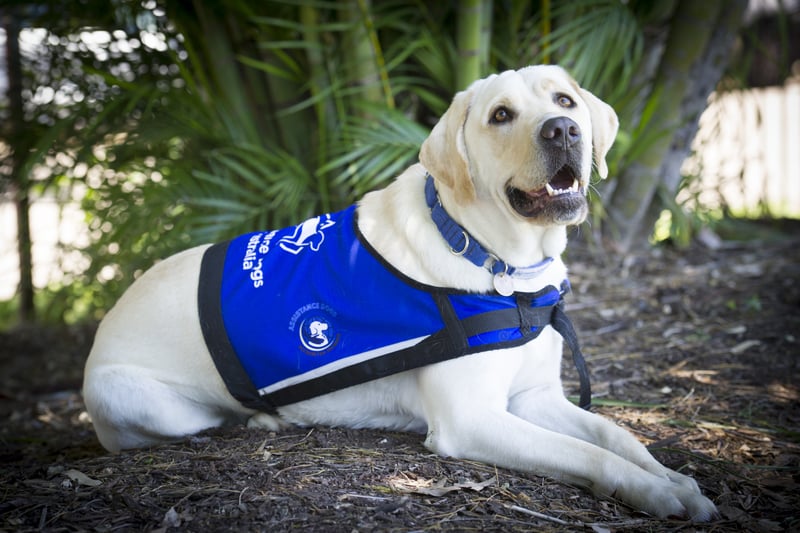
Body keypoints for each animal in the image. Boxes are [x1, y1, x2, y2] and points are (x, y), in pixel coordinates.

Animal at [83, 65, 720, 520]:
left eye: (564, 101)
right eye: (501, 115)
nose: (562, 130)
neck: (500, 262)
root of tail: (106, 319)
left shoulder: (535, 397)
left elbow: (615, 433)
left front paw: (675, 479)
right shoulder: (473, 419)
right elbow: (588, 453)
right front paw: (655, 493)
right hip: (142, 403)